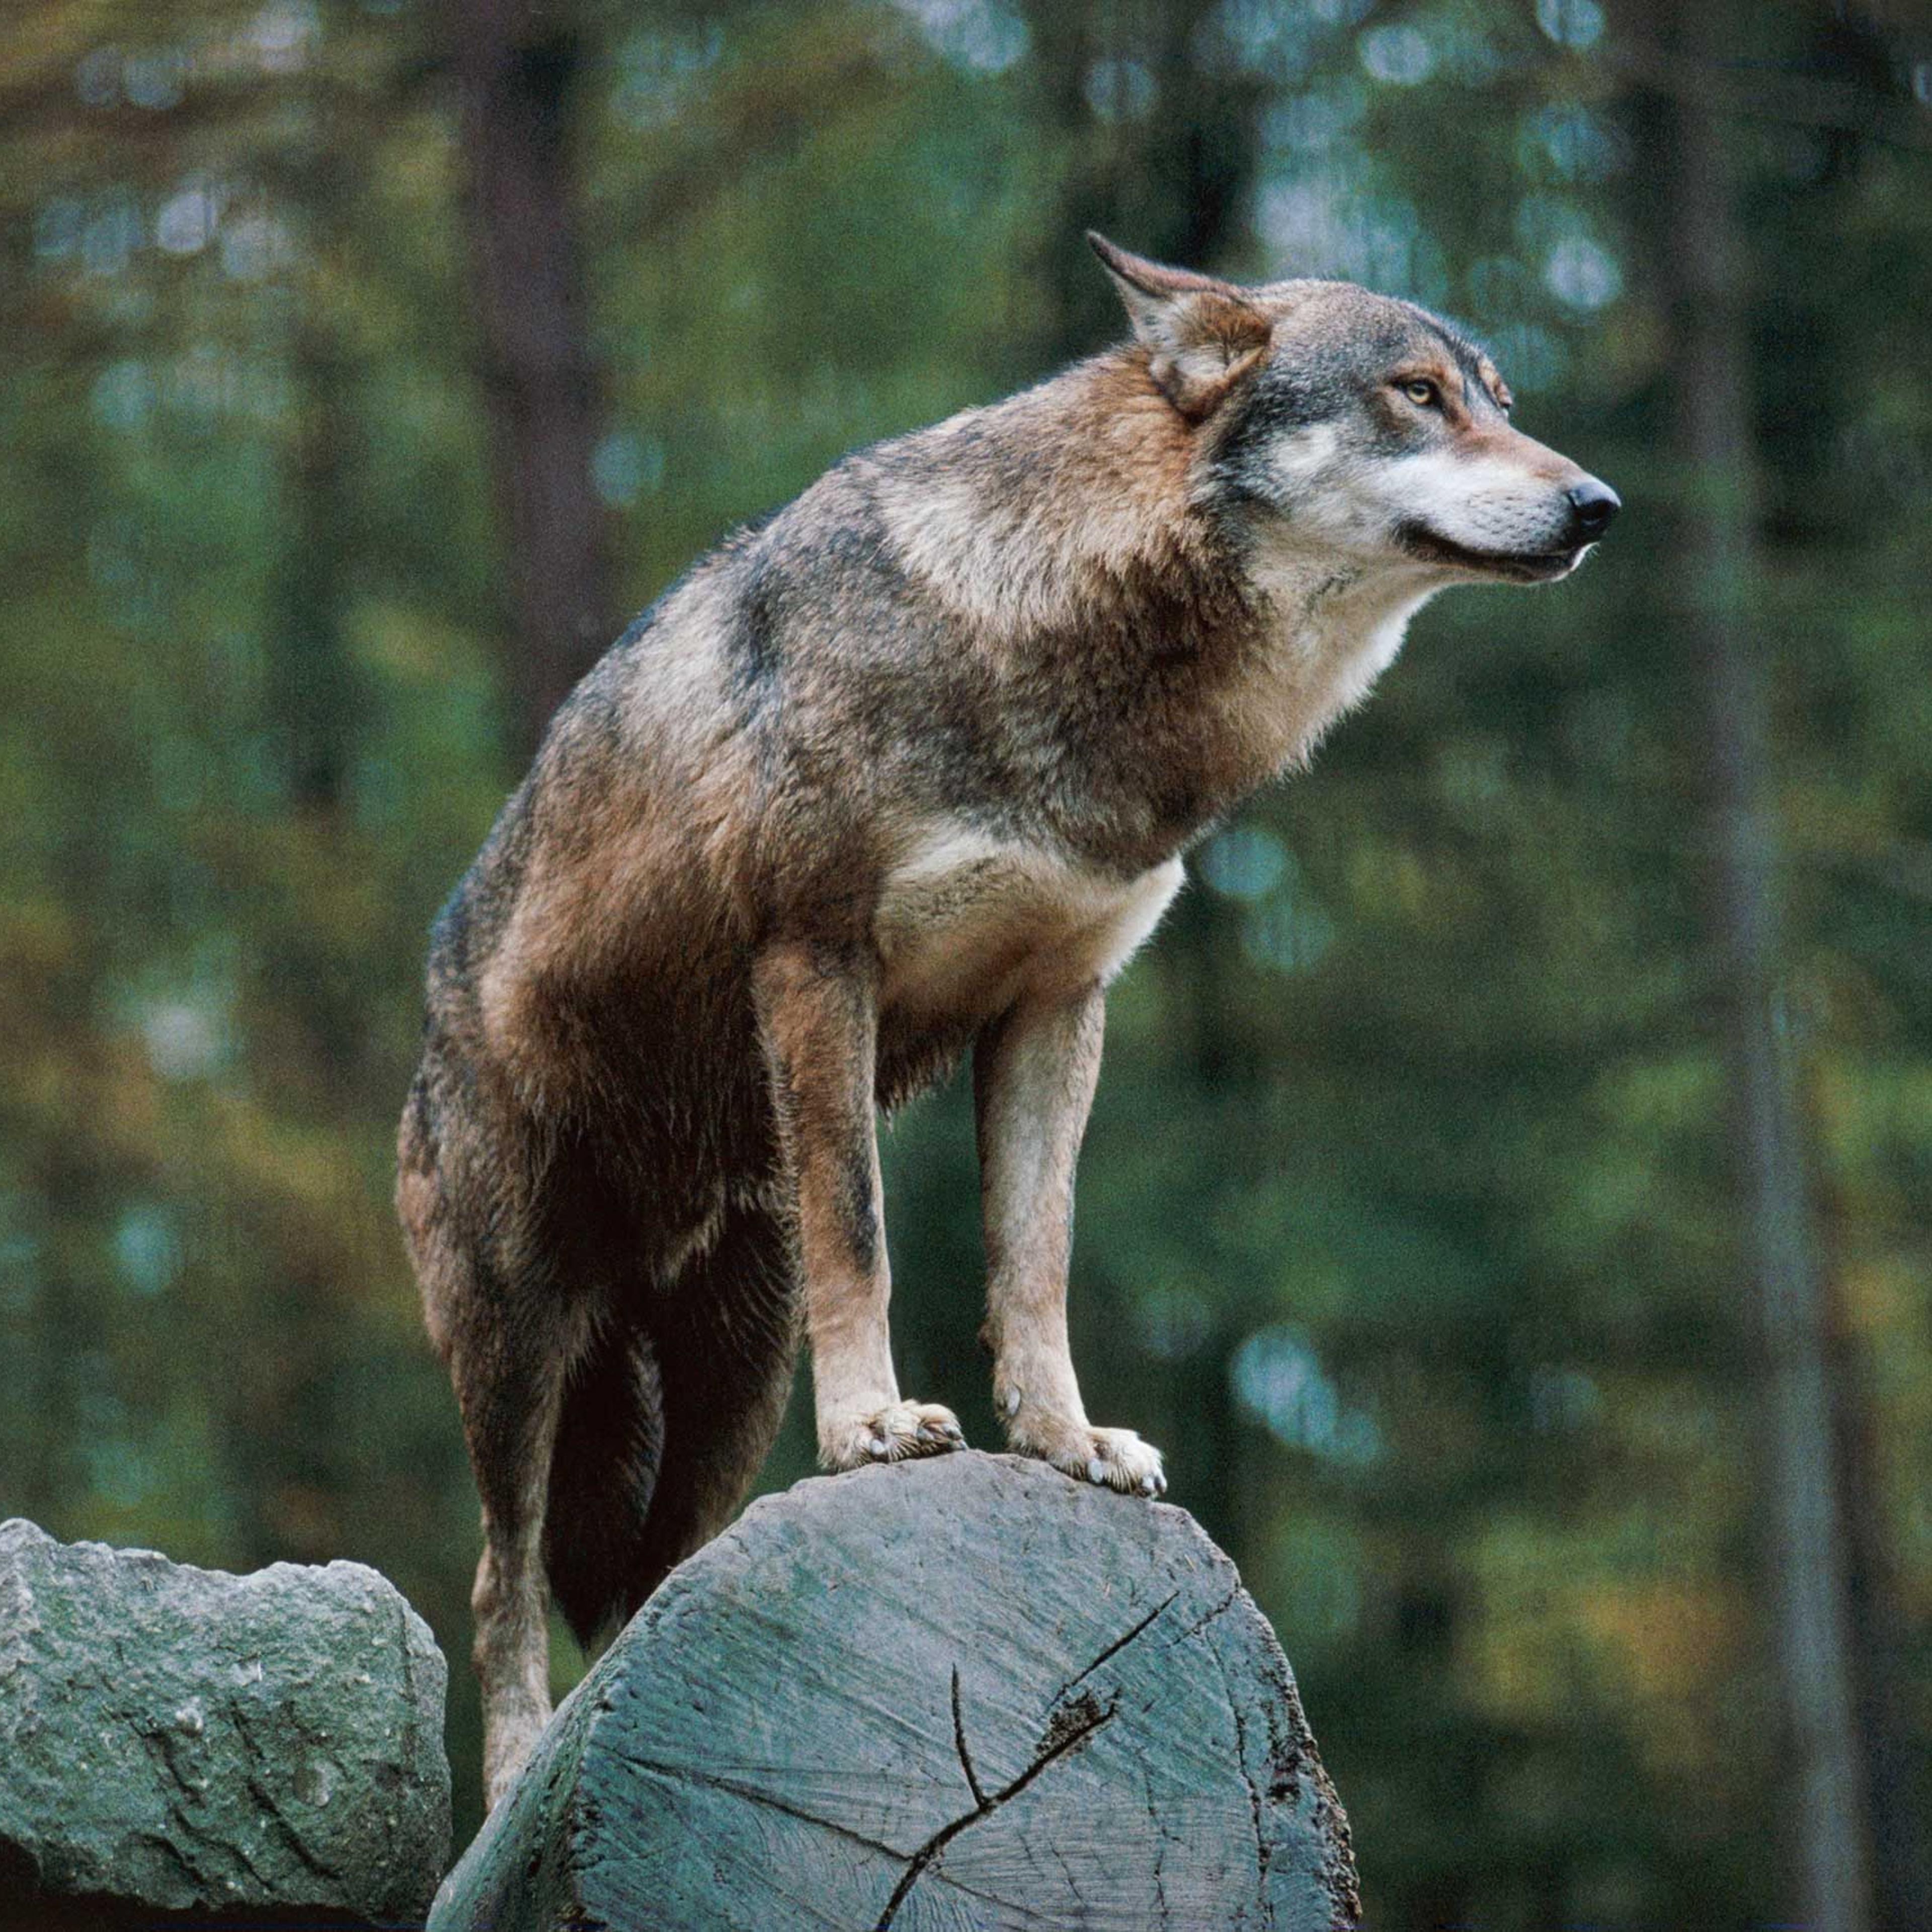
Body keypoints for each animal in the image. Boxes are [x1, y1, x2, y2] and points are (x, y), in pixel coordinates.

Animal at [397, 232, 1617, 1805]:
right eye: (1416, 393)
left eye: (1499, 401)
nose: (1598, 505)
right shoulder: (817, 963)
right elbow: (866, 1232)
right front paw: (875, 1426)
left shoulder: (1057, 1005)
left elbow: (1034, 1260)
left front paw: (1062, 1438)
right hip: (525, 1351)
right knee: (499, 1586)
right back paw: (518, 1778)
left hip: (727, 1383)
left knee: (658, 1584)